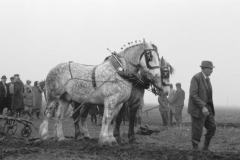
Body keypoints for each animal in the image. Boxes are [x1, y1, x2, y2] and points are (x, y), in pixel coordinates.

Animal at [39, 38, 167, 145]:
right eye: (149, 56)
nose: (157, 76)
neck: (120, 72)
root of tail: (53, 69)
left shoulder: (119, 103)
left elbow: (113, 120)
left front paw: (112, 139)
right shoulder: (110, 100)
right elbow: (107, 118)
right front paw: (105, 139)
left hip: (64, 99)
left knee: (59, 116)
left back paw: (60, 138)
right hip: (53, 97)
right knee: (48, 113)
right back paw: (45, 136)